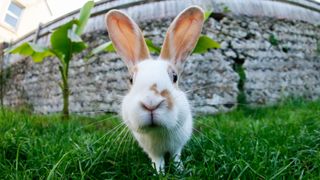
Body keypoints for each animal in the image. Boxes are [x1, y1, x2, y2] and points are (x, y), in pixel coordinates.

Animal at [105, 5, 205, 173]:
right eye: (131, 79)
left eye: (174, 77)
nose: (151, 103)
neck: (158, 132)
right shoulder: (153, 151)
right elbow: (158, 161)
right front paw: (159, 172)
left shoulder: (177, 146)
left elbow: (176, 156)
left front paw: (180, 170)